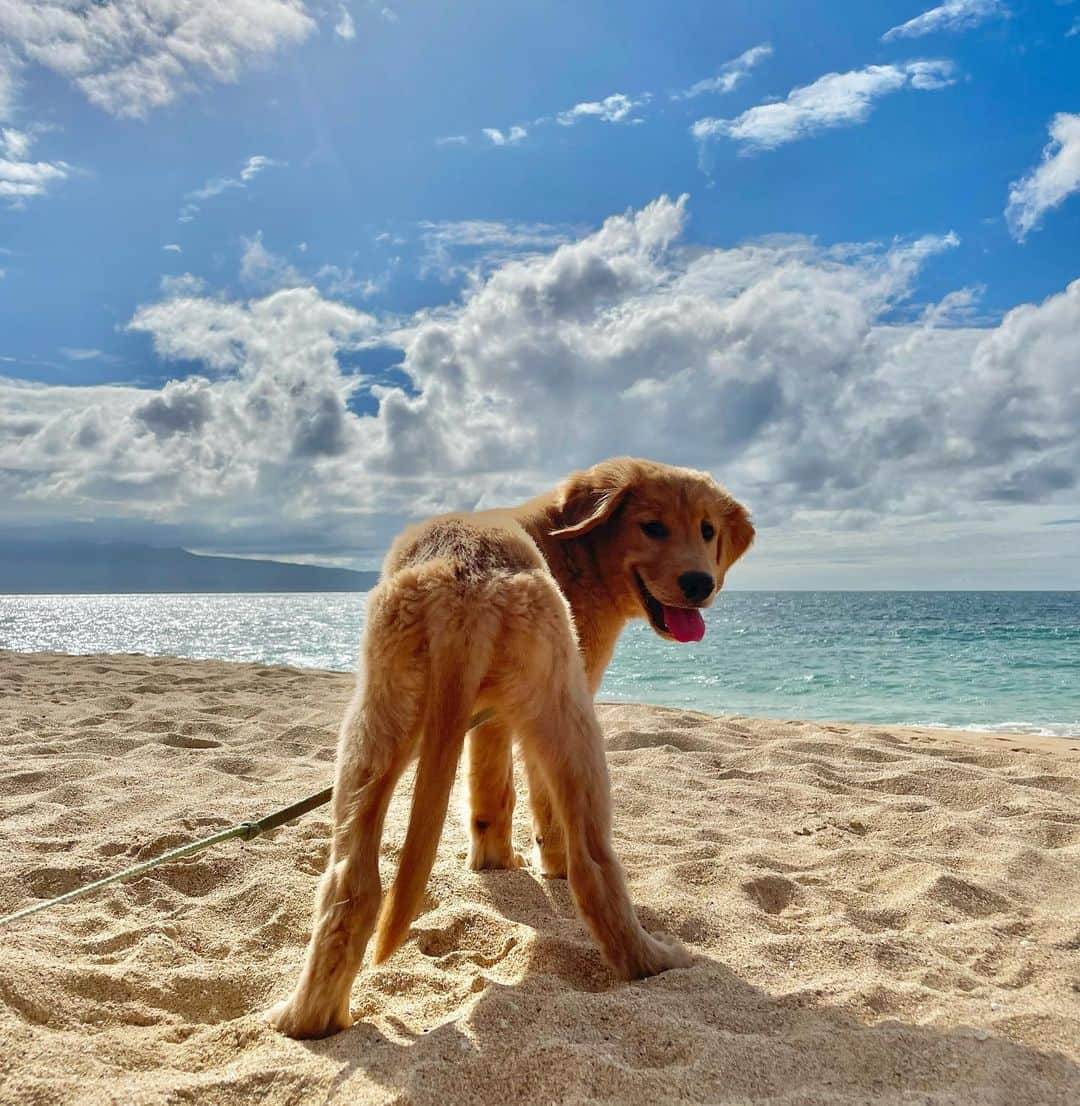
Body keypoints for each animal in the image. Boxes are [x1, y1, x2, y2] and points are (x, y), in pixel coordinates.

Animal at [266, 455, 756, 1035]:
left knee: (351, 885)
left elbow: (488, 792)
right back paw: (653, 959)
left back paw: (305, 1020)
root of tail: (460, 579)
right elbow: (536, 803)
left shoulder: (491, 718)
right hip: (568, 712)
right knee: (594, 863)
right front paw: (541, 865)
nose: (701, 583)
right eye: (652, 526)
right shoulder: (548, 702)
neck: (572, 546)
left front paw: (492, 862)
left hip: (375, 726)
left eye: (708, 531)